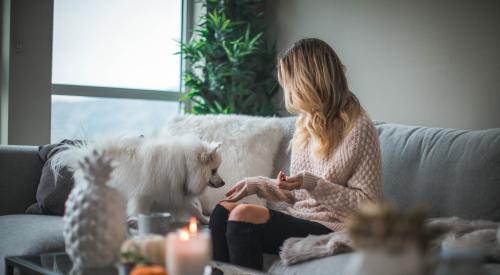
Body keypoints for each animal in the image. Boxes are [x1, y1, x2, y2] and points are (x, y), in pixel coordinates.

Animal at [50, 134, 223, 220]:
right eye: (214, 171)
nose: (223, 182)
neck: (185, 164)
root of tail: (84, 155)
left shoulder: (175, 194)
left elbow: (195, 210)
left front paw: (205, 220)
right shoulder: (145, 195)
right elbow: (140, 211)